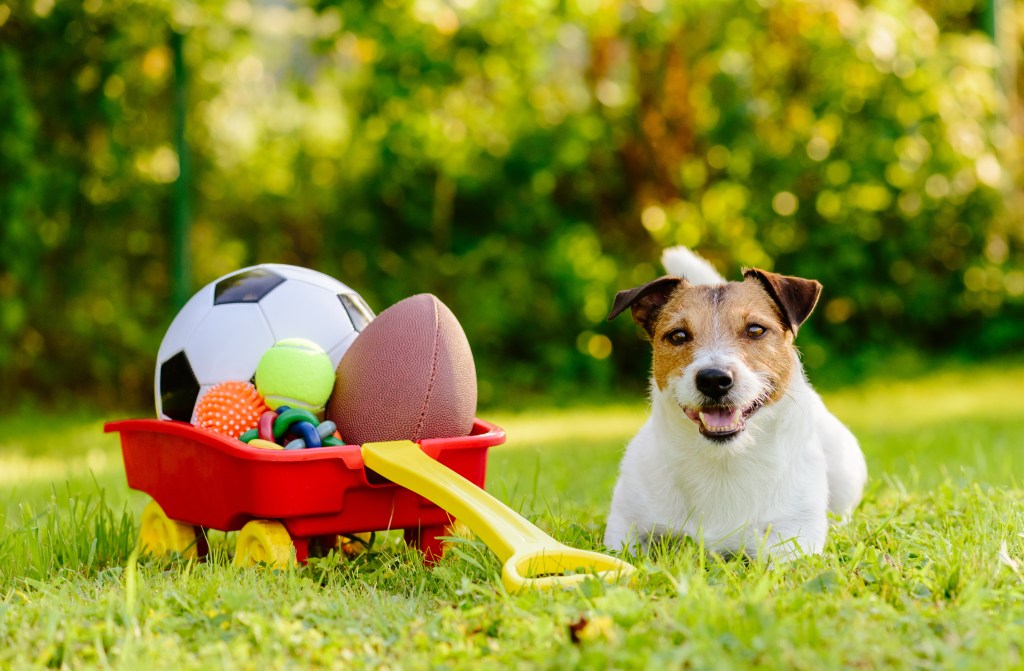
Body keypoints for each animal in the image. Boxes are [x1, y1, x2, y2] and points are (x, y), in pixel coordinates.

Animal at [602, 246, 868, 561]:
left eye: (755, 330)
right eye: (678, 335)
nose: (713, 379)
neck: (723, 460)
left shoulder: (793, 537)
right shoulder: (625, 527)